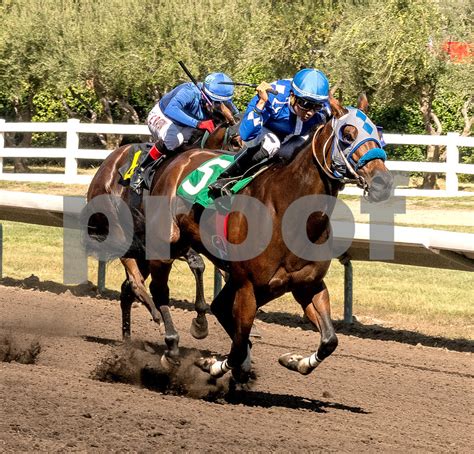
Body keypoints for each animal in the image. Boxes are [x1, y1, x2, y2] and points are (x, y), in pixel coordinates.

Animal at [127, 95, 392, 380]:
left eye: (379, 134)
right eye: (347, 135)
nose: (383, 182)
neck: (290, 213)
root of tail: (180, 157)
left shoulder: (306, 285)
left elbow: (330, 340)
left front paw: (295, 360)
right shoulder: (248, 286)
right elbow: (237, 346)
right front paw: (213, 364)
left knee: (218, 306)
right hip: (167, 243)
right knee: (160, 290)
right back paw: (172, 347)